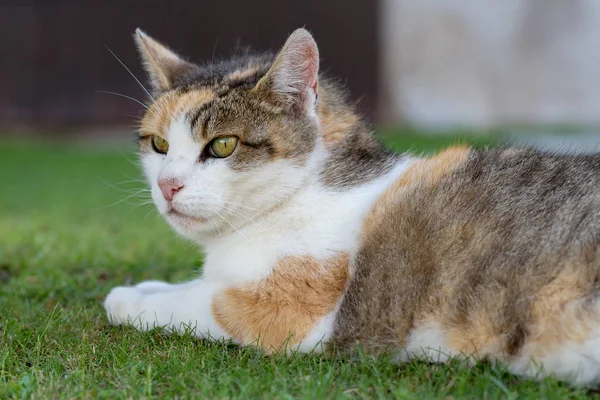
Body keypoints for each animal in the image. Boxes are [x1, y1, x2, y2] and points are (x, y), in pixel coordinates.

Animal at [104, 25, 600, 388]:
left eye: (223, 145)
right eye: (159, 145)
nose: (167, 185)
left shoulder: (291, 310)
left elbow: (198, 301)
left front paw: (129, 299)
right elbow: (192, 285)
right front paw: (149, 285)